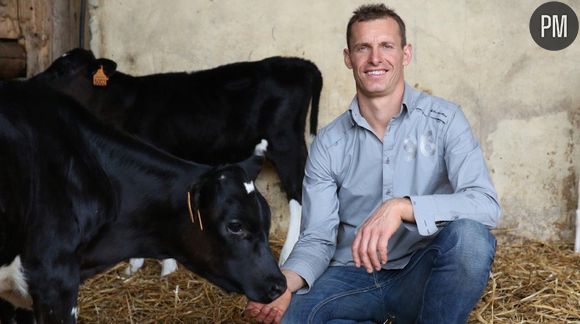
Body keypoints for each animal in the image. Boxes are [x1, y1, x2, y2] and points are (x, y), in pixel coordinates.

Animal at [32, 48, 322, 270]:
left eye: (63, 70)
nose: (32, 84)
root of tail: (297, 63)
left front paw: (156, 263)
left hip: (285, 143)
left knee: (298, 192)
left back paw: (289, 255)